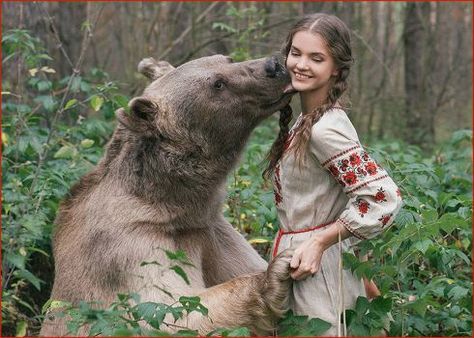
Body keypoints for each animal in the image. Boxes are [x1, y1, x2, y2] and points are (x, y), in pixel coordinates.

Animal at [40, 55, 294, 336]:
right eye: (217, 84)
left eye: (226, 59)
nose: (273, 66)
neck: (171, 203)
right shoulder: (126, 249)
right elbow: (169, 310)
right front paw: (276, 272)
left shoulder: (210, 230)